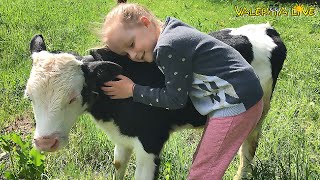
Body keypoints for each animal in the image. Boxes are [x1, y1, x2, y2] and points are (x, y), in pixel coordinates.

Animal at [24, 23, 284, 179]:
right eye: (30, 96)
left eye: (73, 96)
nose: (45, 142)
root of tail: (267, 28)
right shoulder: (122, 139)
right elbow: (118, 167)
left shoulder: (150, 144)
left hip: (259, 112)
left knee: (247, 148)